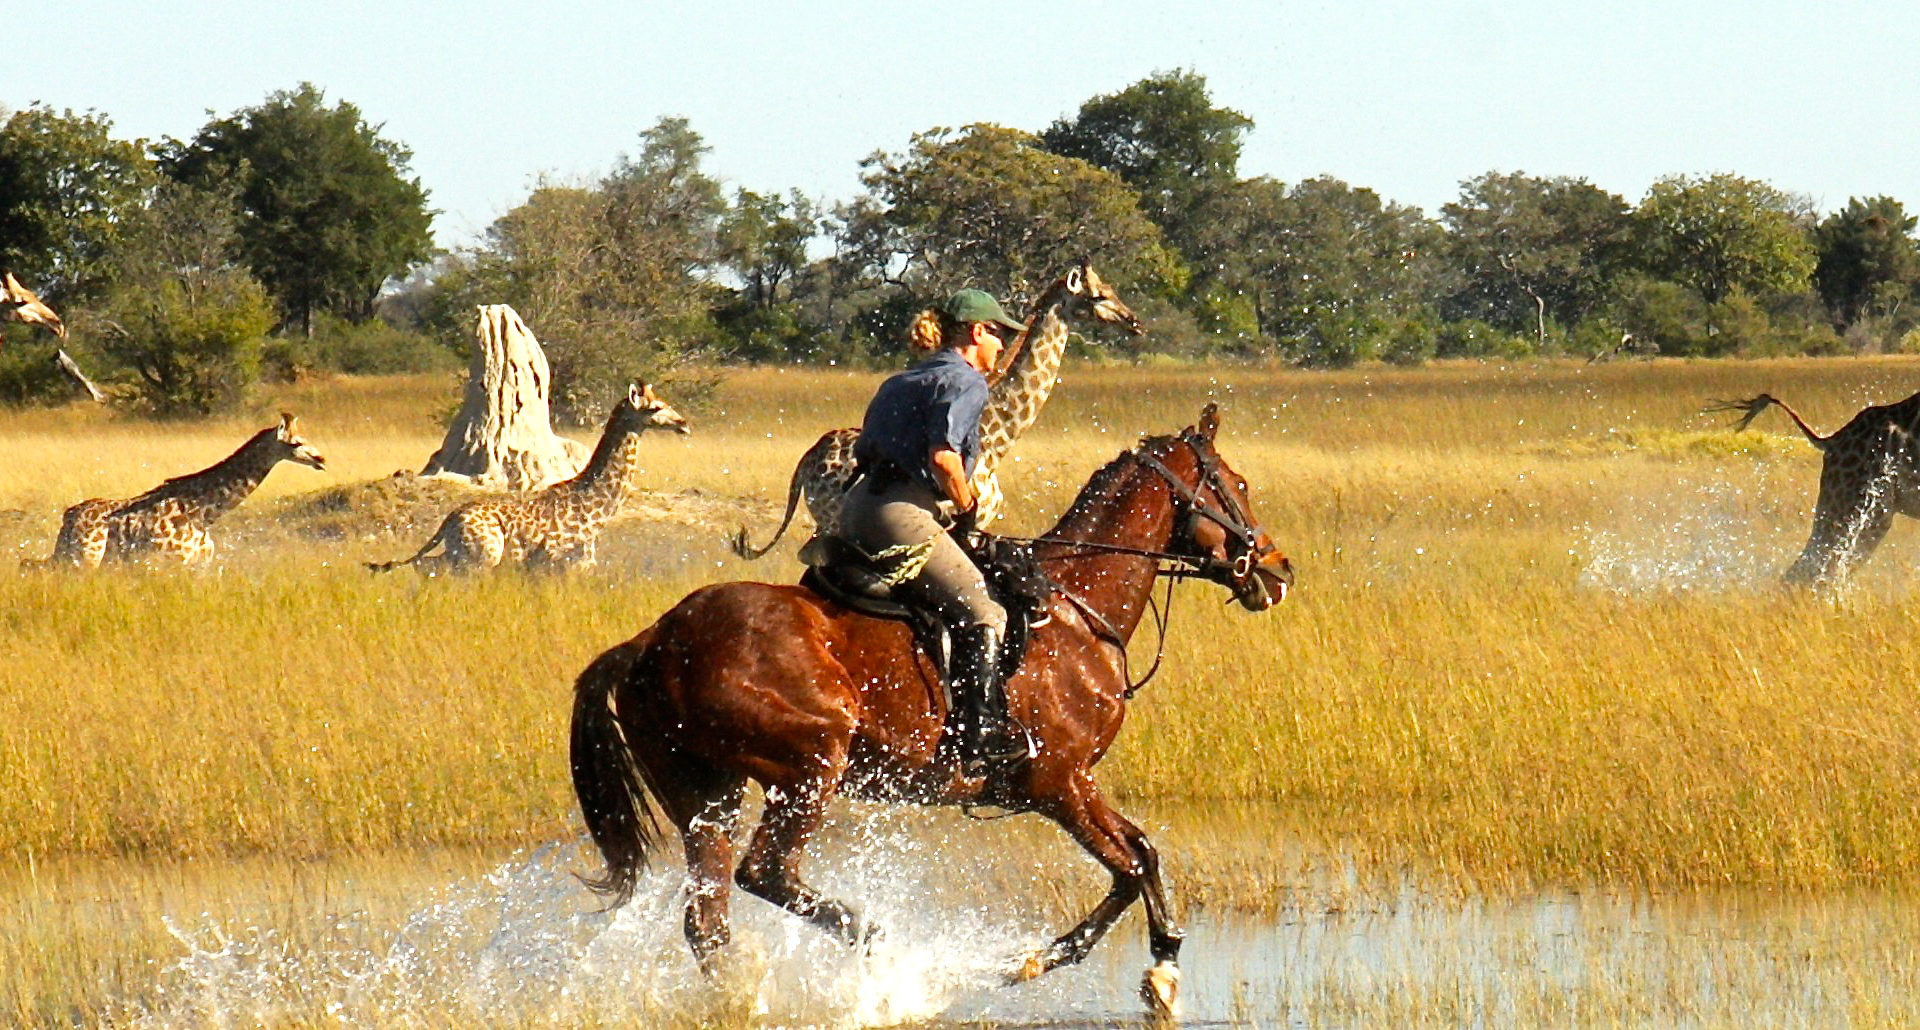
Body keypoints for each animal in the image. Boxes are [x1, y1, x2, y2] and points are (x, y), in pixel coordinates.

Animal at [569, 403, 1293, 1015]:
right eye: (1238, 484)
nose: (1279, 570)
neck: (1075, 610)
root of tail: (652, 640)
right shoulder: (1057, 783)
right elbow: (1131, 864)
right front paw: (1060, 964)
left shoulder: (1071, 784)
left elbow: (1140, 853)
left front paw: (1154, 963)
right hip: (809, 766)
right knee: (765, 872)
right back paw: (879, 948)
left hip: (705, 792)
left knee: (708, 918)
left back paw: (746, 997)